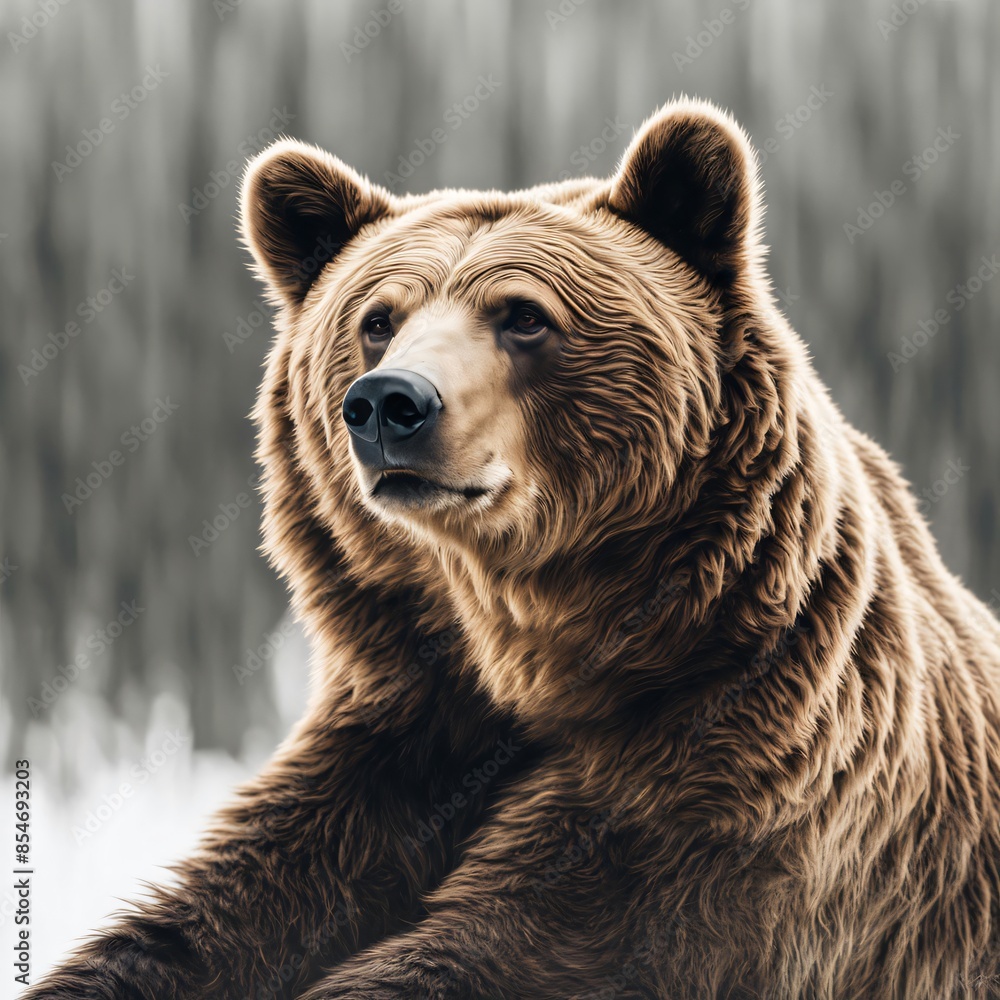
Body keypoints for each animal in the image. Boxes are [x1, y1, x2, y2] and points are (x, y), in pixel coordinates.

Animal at [27, 98, 1000, 999]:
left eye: (523, 316)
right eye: (377, 318)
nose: (389, 403)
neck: (524, 643)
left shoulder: (730, 768)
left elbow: (549, 937)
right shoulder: (402, 726)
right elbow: (217, 916)